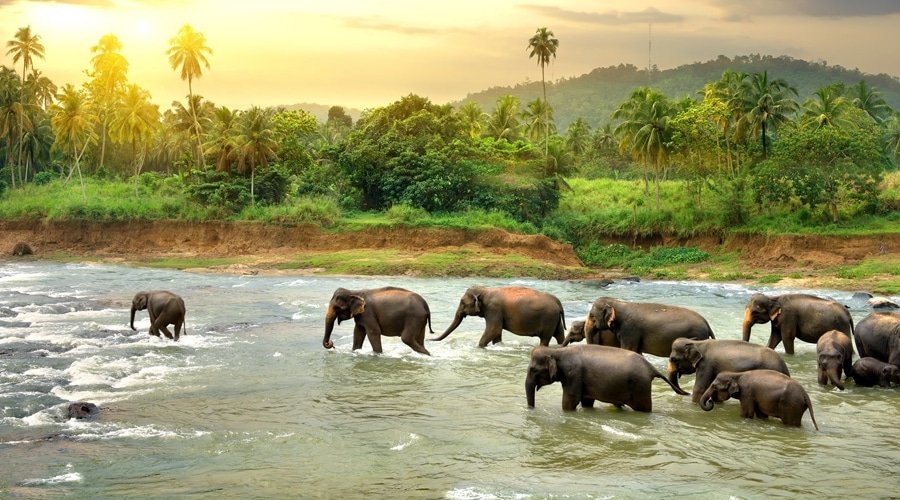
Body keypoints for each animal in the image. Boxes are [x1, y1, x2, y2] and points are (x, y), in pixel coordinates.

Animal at [432, 286, 568, 348]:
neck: (484, 290)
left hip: (548, 319)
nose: (430, 338)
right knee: (560, 335)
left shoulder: (493, 309)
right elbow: (496, 334)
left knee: (545, 339)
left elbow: (493, 330)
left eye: (462, 303)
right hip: (555, 320)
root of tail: (558, 302)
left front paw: (479, 347)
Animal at [524, 346, 684, 412]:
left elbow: (570, 401)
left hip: (640, 386)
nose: (531, 409)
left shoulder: (574, 375)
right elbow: (586, 401)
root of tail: (652, 368)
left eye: (533, 370)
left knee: (643, 409)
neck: (557, 351)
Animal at [576, 296, 716, 356]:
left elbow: (628, 349)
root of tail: (707, 323)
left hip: (697, 336)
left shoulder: (630, 331)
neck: (618, 303)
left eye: (592, 316)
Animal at [664, 338, 792, 404]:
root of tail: (784, 366)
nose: (687, 393)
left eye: (673, 359)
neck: (697, 343)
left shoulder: (706, 364)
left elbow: (700, 388)